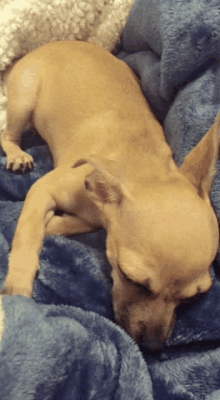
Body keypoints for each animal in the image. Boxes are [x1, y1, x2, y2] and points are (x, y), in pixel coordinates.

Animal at [0, 41, 219, 350]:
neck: (142, 164)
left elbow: (81, 223)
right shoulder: (42, 188)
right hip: (24, 101)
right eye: (131, 279)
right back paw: (17, 155)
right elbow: (27, 236)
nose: (153, 348)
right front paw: (17, 287)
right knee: (8, 135)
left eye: (194, 297)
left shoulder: (98, 213)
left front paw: (53, 223)